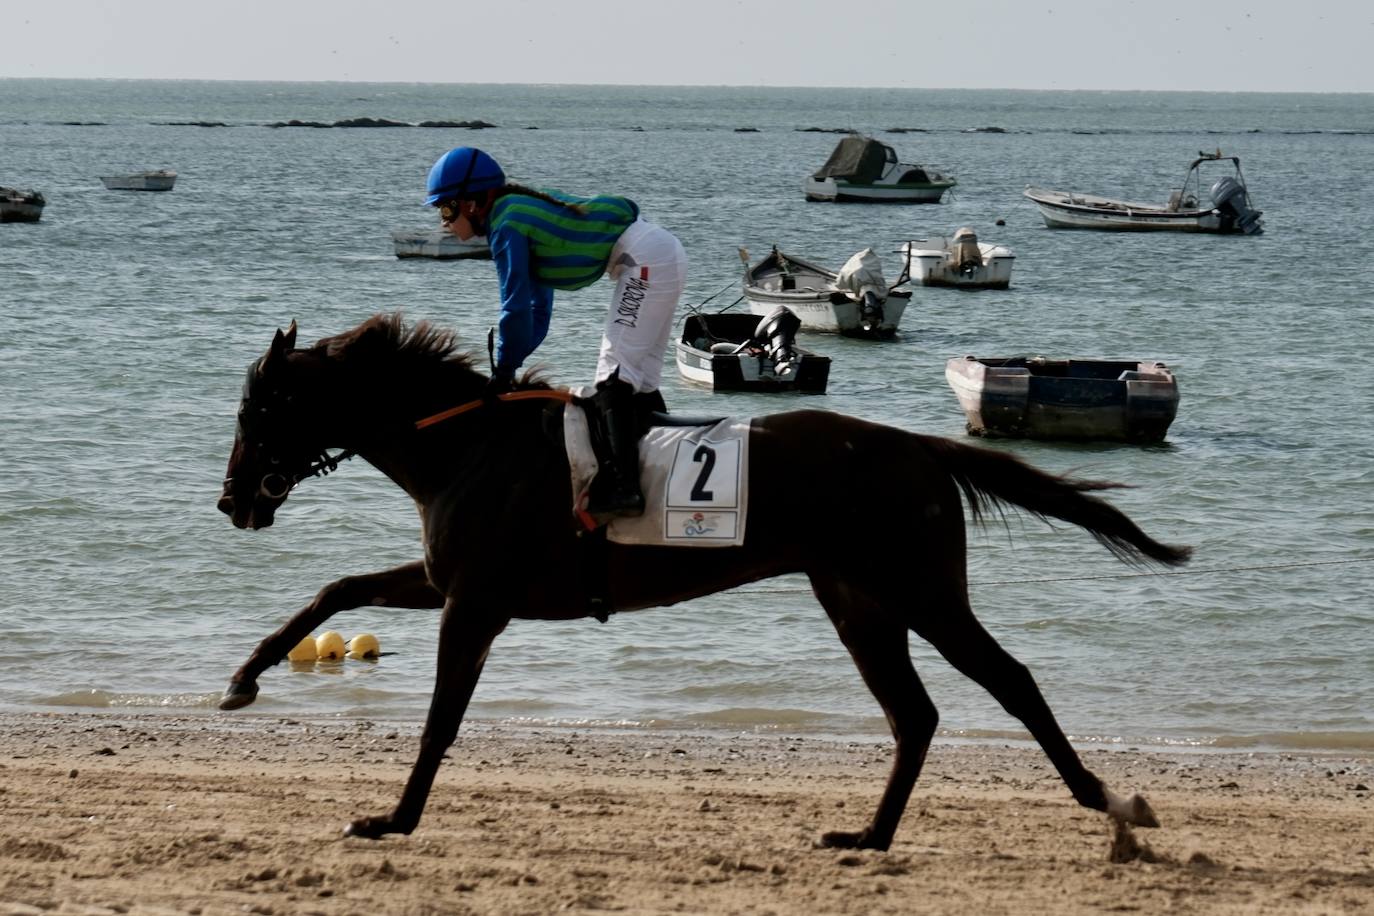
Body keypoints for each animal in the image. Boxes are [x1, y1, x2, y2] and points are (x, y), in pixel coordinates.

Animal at [216, 313, 1190, 850]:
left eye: (258, 408)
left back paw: (1104, 799)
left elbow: (438, 720)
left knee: (1009, 680)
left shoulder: (476, 603)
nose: (232, 500)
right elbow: (336, 590)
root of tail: (918, 447)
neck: (466, 444)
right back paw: (869, 835)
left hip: (919, 589)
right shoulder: (447, 581)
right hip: (858, 601)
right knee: (914, 715)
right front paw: (244, 679)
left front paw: (394, 818)